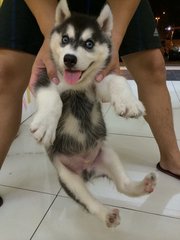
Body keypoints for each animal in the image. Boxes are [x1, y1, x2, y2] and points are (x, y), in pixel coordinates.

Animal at [30, 0, 156, 228]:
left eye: (89, 44)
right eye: (65, 39)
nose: (69, 59)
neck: (77, 86)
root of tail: (87, 169)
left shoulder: (98, 85)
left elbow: (117, 79)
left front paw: (129, 102)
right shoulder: (44, 78)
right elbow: (53, 98)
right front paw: (45, 125)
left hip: (107, 155)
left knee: (123, 185)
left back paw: (142, 186)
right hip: (67, 176)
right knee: (88, 201)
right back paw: (106, 214)